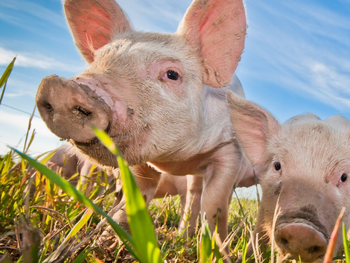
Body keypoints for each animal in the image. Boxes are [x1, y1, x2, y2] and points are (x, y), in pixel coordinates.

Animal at [34, 0, 252, 245]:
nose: (62, 88)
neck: (175, 161)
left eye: (172, 74)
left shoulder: (231, 150)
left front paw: (218, 246)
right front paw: (113, 236)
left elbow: (215, 204)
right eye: (98, 61)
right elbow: (136, 194)